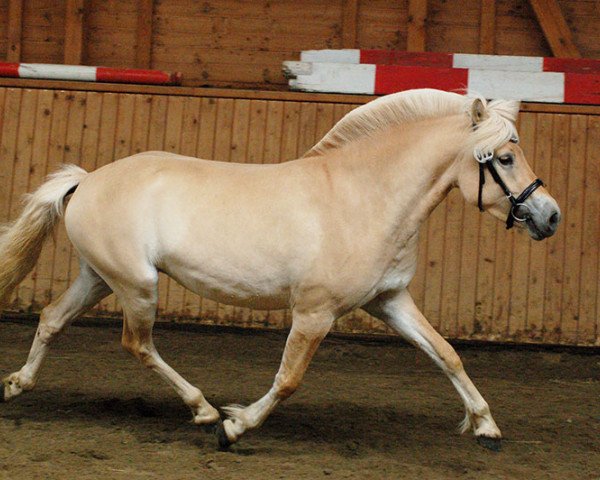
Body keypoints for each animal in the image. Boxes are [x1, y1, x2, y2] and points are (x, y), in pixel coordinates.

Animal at [0, 89, 560, 450]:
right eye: (505, 158)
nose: (549, 216)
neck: (365, 196)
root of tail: (88, 179)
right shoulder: (315, 312)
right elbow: (289, 378)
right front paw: (234, 427)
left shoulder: (390, 300)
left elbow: (447, 355)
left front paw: (485, 427)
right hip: (137, 287)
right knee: (137, 345)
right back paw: (204, 409)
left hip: (99, 278)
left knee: (51, 318)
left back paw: (17, 385)